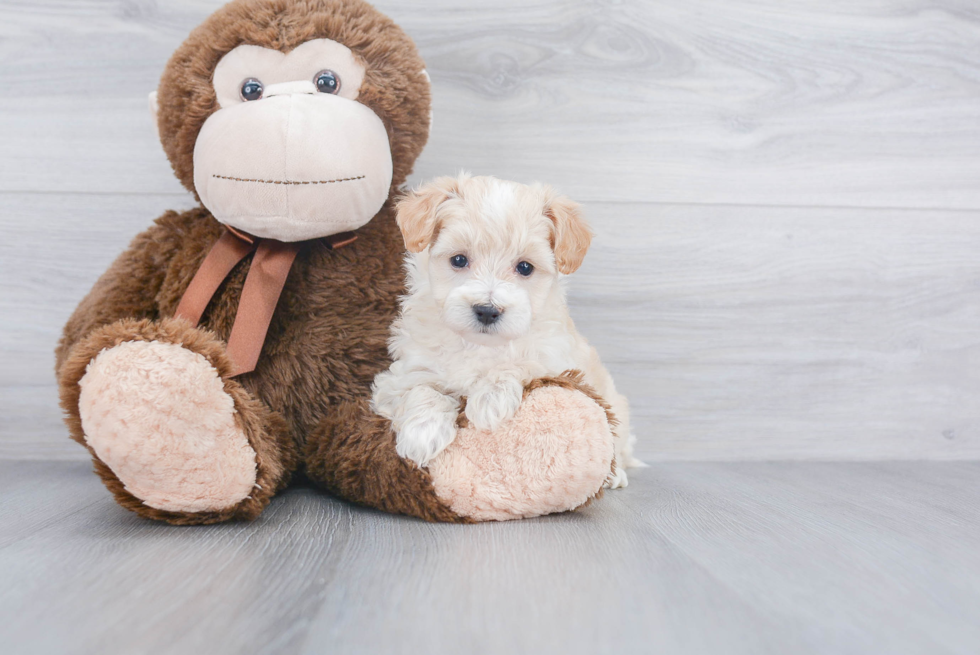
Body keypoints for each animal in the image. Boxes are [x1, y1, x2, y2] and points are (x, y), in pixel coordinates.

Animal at [372, 174, 640, 486]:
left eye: (525, 267)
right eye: (459, 260)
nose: (487, 310)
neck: (479, 345)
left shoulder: (556, 358)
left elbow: (520, 362)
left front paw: (490, 400)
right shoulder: (398, 377)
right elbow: (421, 387)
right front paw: (422, 434)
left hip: (614, 405)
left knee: (618, 442)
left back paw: (615, 475)